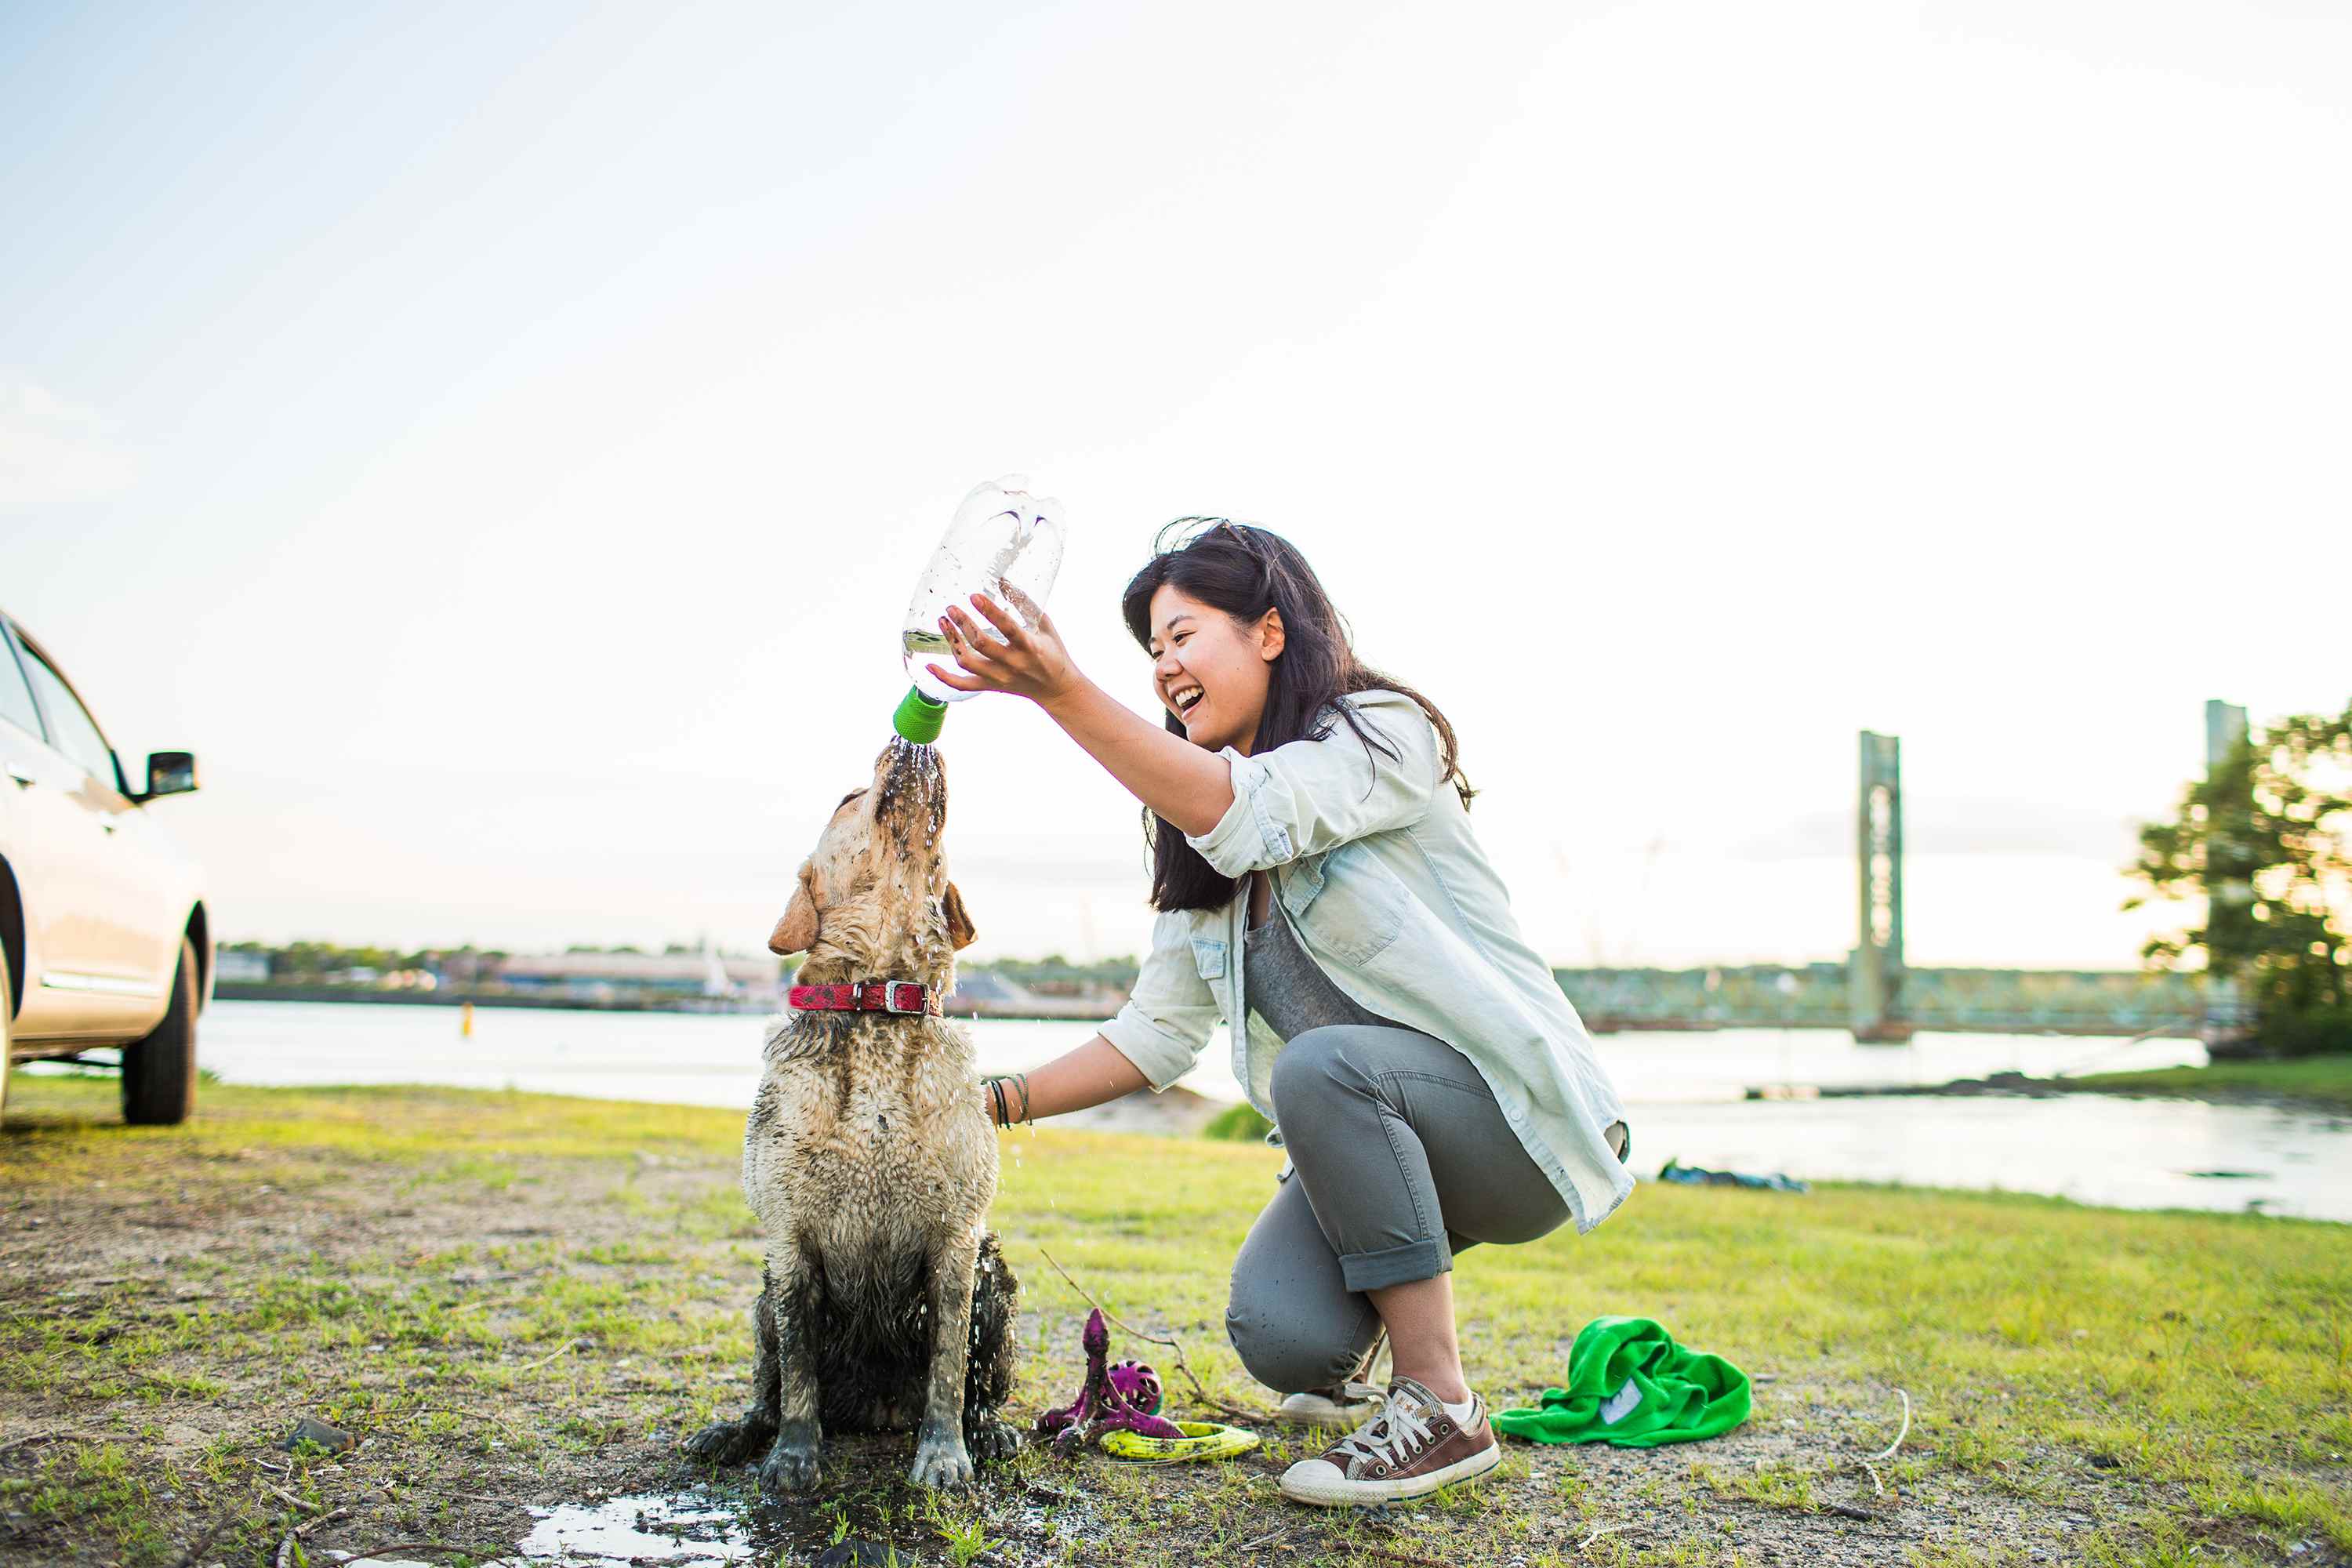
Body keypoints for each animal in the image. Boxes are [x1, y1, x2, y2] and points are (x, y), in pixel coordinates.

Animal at [682, 742, 1011, 1495]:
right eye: (847, 798)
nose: (912, 745)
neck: (879, 1000)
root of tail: (876, 1410)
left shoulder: (959, 1242)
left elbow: (950, 1367)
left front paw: (944, 1454)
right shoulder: (789, 1242)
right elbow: (798, 1369)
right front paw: (793, 1455)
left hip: (997, 1276)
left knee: (980, 1387)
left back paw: (990, 1432)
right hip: (761, 1299)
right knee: (769, 1384)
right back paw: (736, 1431)